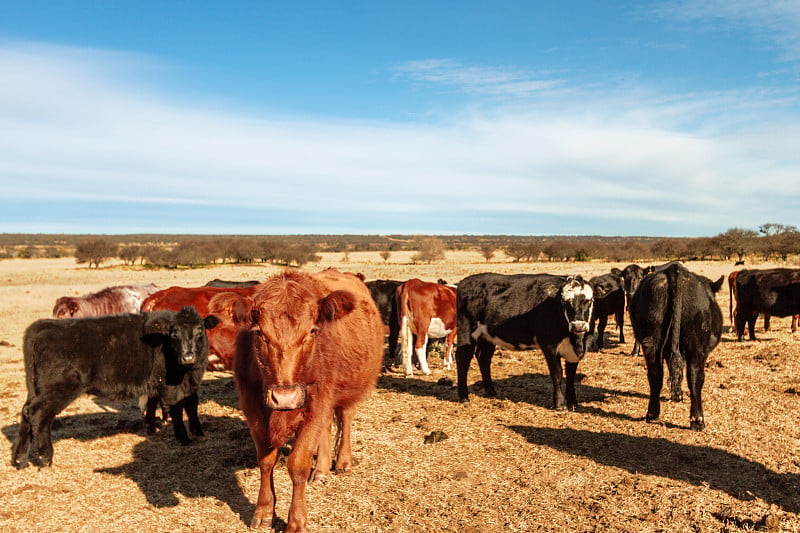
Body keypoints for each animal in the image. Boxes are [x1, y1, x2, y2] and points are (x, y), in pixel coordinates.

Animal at [12, 306, 219, 468]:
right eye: (174, 334)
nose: (188, 357)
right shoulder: (169, 385)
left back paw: (20, 460)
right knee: (38, 413)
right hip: (59, 387)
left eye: (200, 331)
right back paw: (45, 458)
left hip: (36, 388)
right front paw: (184, 438)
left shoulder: (186, 384)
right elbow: (177, 409)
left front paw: (197, 432)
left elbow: (189, 405)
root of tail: (42, 326)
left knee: (26, 411)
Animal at [214, 270, 382, 532]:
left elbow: (298, 464)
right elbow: (266, 461)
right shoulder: (253, 410)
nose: (285, 396)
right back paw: (321, 469)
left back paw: (343, 461)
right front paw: (264, 511)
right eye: (259, 332)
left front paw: (296, 521)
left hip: (349, 388)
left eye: (312, 331)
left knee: (345, 418)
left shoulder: (317, 405)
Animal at [456, 272, 592, 410]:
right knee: (463, 358)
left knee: (483, 357)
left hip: (487, 335)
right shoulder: (549, 346)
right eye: (564, 301)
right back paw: (464, 397)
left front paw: (573, 402)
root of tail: (465, 281)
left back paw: (491, 391)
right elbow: (557, 374)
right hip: (466, 330)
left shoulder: (574, 351)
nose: (578, 325)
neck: (575, 340)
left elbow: (571, 375)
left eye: (590, 301)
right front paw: (559, 405)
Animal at [632, 262, 724, 432]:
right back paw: (697, 420)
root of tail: (674, 272)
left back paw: (652, 413)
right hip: (697, 345)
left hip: (652, 339)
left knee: (655, 373)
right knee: (695, 376)